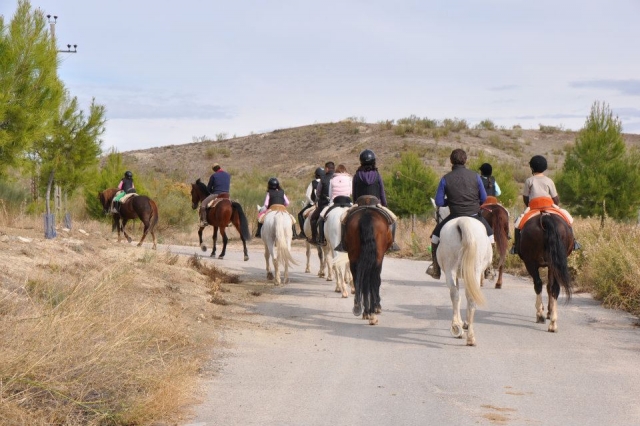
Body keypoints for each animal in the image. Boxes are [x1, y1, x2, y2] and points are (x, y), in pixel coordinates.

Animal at [437, 217, 492, 346]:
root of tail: (462, 221)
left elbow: (458, 296)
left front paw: (460, 323)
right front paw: (464, 323)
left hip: (451, 269)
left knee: (455, 294)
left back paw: (457, 328)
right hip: (473, 270)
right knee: (468, 298)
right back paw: (469, 336)